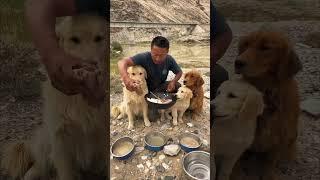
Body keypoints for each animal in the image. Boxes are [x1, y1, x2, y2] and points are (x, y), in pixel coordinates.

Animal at [0, 14, 107, 180]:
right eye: (74, 39)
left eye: (99, 38)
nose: (91, 67)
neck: (80, 99)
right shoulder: (60, 138)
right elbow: (65, 172)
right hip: (46, 138)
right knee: (38, 166)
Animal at [234, 30, 302, 179]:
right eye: (245, 45)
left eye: (265, 48)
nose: (238, 62)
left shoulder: (279, 137)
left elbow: (270, 164)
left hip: (292, 134)